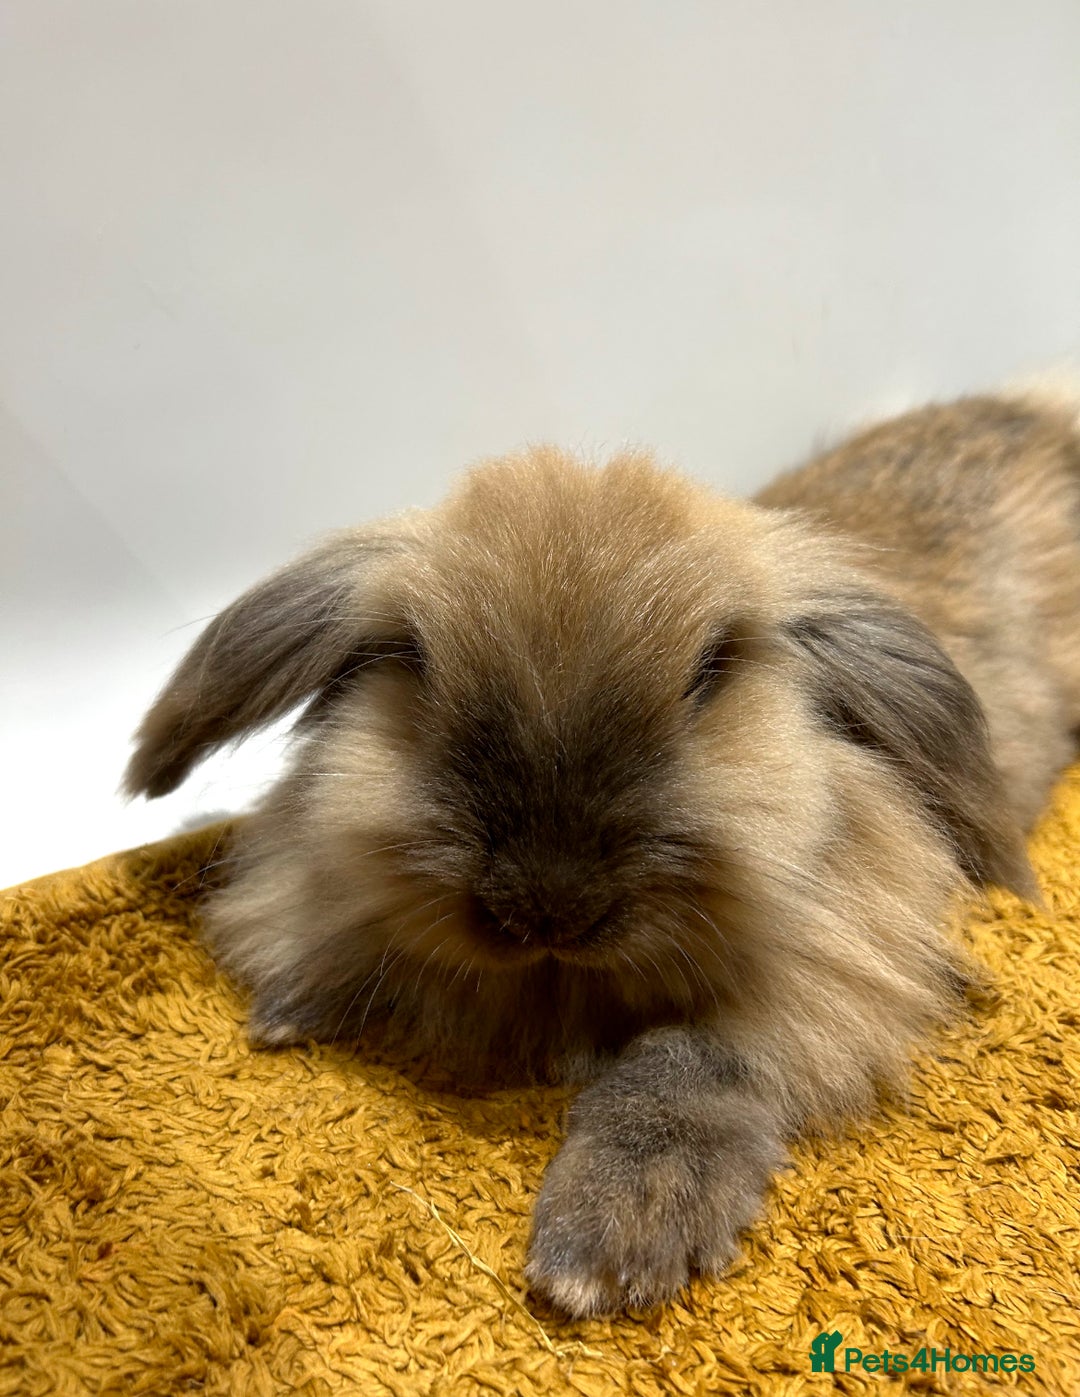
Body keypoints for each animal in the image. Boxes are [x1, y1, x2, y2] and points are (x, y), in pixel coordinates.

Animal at [124, 385, 1080, 1318]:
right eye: (417, 661)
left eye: (710, 672)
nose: (546, 907)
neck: (558, 980)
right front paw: (295, 1002)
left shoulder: (825, 987)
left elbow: (684, 1065)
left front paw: (609, 1246)